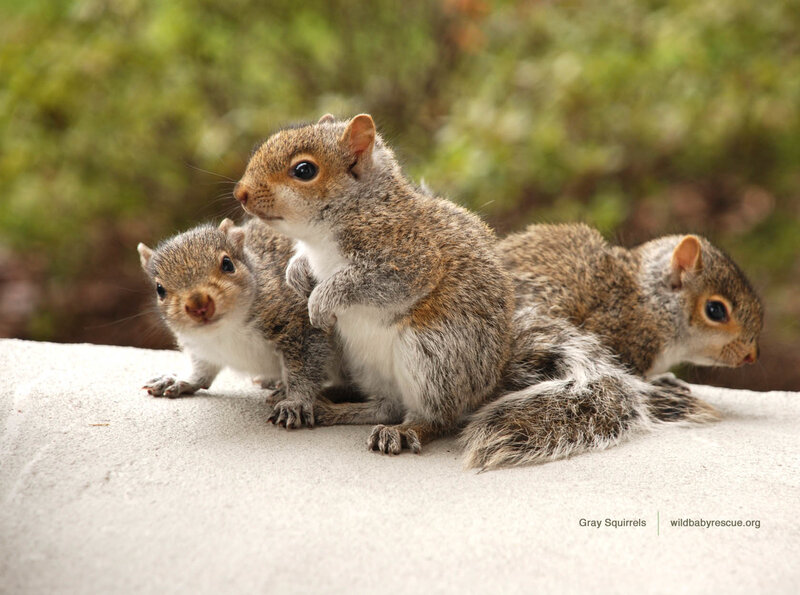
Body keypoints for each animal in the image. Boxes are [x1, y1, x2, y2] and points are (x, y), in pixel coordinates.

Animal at [137, 217, 340, 428]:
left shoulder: (299, 324)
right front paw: (180, 380)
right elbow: (202, 369)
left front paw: (295, 402)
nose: (198, 305)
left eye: (227, 264)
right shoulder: (201, 347)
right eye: (160, 289)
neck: (225, 330)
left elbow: (304, 368)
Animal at [233, 113, 515, 455]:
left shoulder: (410, 257)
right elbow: (300, 261)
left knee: (436, 417)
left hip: (433, 356)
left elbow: (367, 282)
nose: (240, 193)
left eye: (304, 170)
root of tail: (483, 390)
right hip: (363, 361)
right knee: (386, 407)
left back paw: (405, 430)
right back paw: (335, 409)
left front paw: (321, 300)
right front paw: (296, 275)